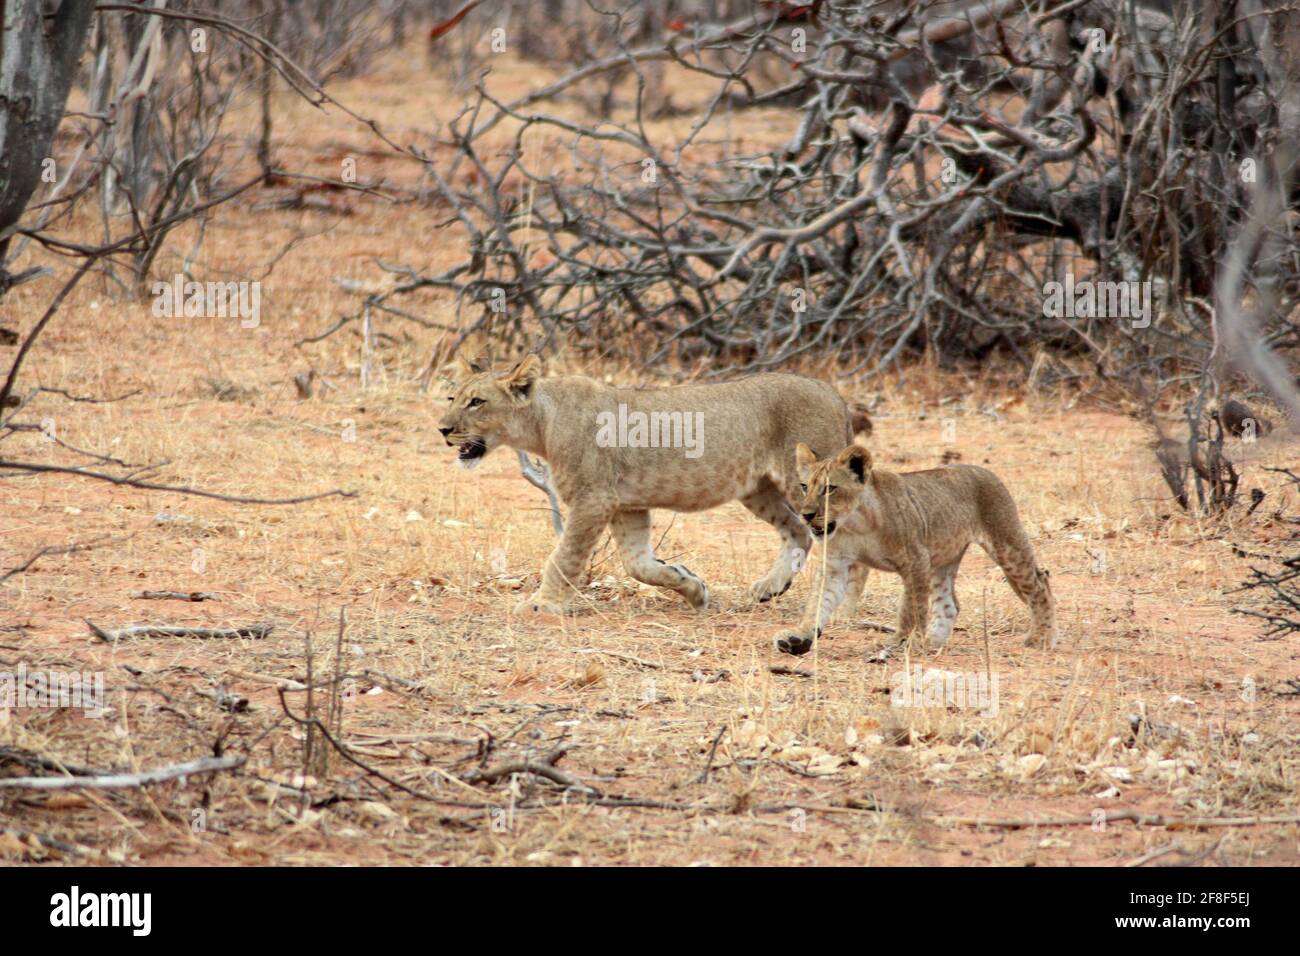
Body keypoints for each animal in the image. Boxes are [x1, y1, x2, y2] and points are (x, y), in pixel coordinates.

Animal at [438, 344, 872, 615]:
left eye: (477, 402)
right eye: (452, 398)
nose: (443, 429)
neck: (542, 423)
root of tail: (835, 395)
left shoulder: (593, 499)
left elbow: (564, 558)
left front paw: (542, 605)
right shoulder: (626, 505)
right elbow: (639, 564)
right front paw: (693, 588)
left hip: (812, 485)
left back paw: (842, 609)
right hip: (760, 490)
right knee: (797, 532)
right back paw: (769, 588)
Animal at [774, 442, 1057, 656]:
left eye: (830, 489)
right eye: (804, 486)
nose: (806, 515)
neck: (856, 524)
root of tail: (986, 472)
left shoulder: (916, 560)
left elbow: (911, 608)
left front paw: (904, 642)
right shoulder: (835, 565)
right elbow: (817, 602)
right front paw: (800, 637)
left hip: (1006, 542)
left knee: (1040, 583)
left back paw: (1042, 637)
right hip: (943, 560)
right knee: (950, 604)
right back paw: (933, 642)